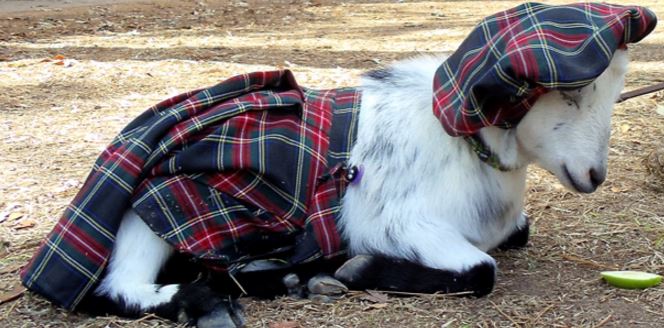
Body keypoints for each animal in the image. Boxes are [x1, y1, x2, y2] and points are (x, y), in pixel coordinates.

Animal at [19, 2, 652, 328]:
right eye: (570, 93)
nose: (594, 177)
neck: (463, 146)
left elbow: (517, 236)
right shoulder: (401, 223)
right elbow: (481, 271)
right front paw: (361, 269)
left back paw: (284, 276)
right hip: (162, 201)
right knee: (119, 287)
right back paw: (214, 298)